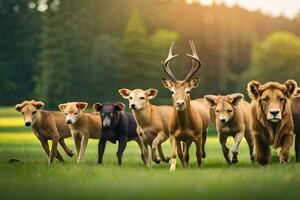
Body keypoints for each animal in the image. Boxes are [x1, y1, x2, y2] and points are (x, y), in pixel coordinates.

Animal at [161, 41, 210, 172]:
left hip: (202, 132)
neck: (183, 126)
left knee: (199, 151)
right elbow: (177, 154)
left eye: (188, 91)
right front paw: (173, 169)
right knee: (184, 153)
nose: (180, 103)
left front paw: (198, 168)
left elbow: (197, 155)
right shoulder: (173, 135)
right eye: (172, 91)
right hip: (184, 140)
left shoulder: (197, 135)